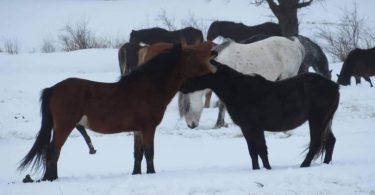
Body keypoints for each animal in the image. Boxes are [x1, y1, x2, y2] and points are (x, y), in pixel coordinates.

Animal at [17, 42, 217, 181]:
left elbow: (138, 154)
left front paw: (136, 174)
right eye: (190, 53)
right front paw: (152, 174)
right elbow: (150, 153)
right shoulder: (148, 129)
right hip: (64, 126)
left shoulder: (137, 131)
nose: (214, 50)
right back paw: (50, 178)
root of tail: (53, 89)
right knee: (53, 150)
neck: (147, 88)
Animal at [180, 60, 340, 170]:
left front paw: (267, 169)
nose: (181, 86)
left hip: (317, 119)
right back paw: (326, 164)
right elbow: (253, 151)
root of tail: (334, 86)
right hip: (326, 120)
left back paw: (304, 165)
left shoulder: (254, 127)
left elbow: (261, 149)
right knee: (330, 141)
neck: (238, 90)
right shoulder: (246, 128)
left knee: (316, 143)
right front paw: (257, 169)